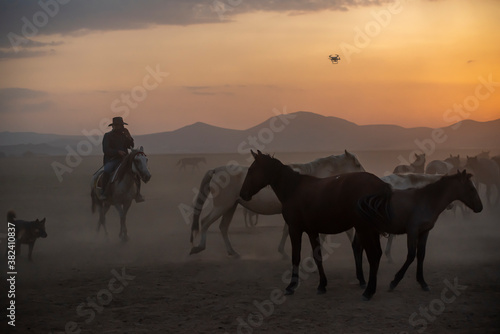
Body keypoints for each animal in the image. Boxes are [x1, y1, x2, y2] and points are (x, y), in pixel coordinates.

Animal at [189, 150, 366, 258]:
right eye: (357, 164)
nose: (365, 174)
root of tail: (216, 170)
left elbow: (287, 231)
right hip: (222, 206)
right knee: (205, 221)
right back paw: (198, 247)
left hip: (230, 207)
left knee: (223, 227)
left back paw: (233, 252)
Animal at [240, 151, 392, 300]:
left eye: (251, 170)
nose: (242, 193)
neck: (293, 189)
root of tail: (381, 185)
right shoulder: (312, 231)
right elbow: (317, 257)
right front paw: (322, 285)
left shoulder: (295, 229)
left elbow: (296, 257)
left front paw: (291, 286)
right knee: (375, 253)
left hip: (365, 229)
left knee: (373, 254)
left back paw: (368, 291)